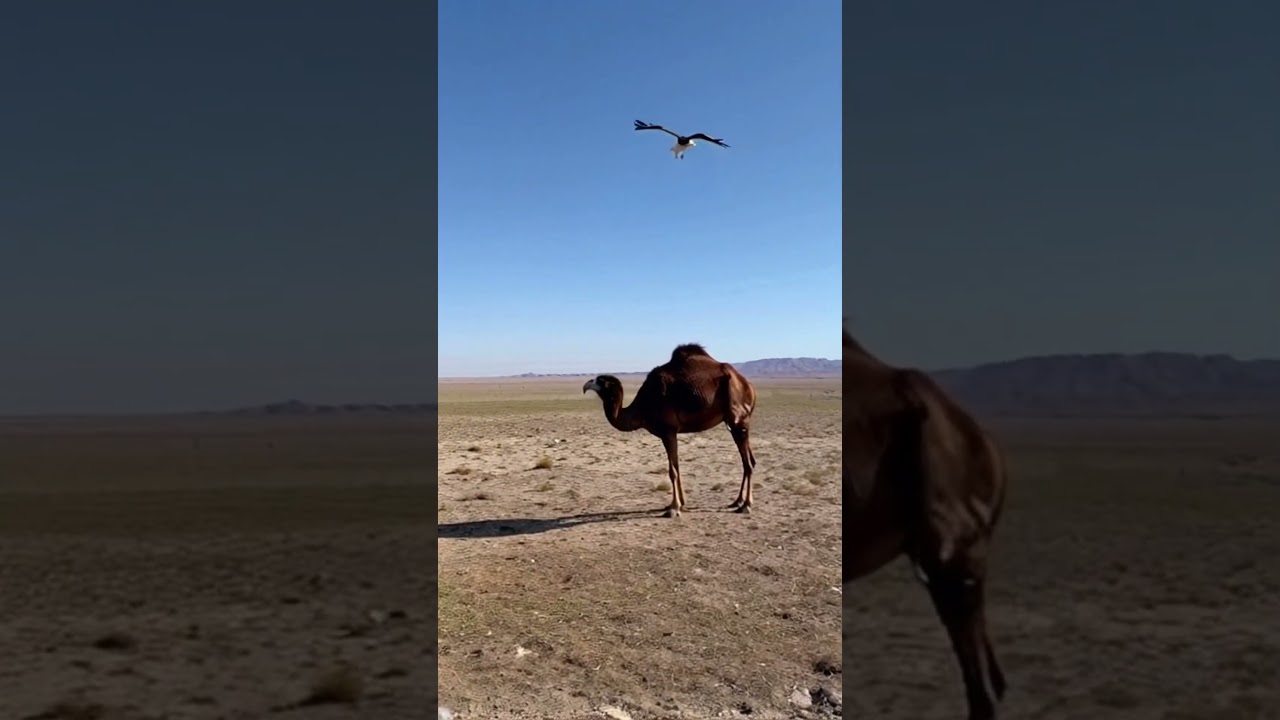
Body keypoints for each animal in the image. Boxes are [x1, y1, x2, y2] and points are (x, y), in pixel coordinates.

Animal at [581, 343, 757, 518]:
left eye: (601, 381)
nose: (586, 385)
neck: (644, 405)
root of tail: (748, 385)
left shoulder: (668, 431)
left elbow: (672, 471)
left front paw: (674, 508)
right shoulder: (670, 433)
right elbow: (677, 467)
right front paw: (680, 504)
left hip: (739, 419)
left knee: (747, 463)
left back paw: (746, 505)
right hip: (736, 423)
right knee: (748, 460)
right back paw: (737, 501)